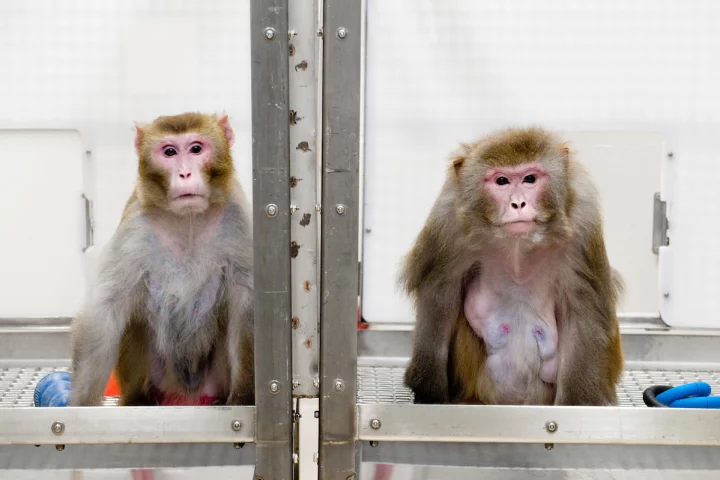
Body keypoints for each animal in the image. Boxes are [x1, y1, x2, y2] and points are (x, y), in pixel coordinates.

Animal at [69, 112, 254, 407]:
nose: (185, 173)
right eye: (169, 152)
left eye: (196, 149)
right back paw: (139, 399)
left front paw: (243, 397)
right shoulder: (135, 226)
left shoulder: (238, 220)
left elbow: (245, 305)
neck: (188, 220)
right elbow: (106, 309)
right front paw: (79, 403)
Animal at [400, 127, 623, 406]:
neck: (518, 246)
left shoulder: (584, 223)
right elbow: (438, 296)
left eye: (529, 178)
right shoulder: (448, 224)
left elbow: (584, 310)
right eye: (502, 181)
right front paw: (428, 392)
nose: (518, 204)